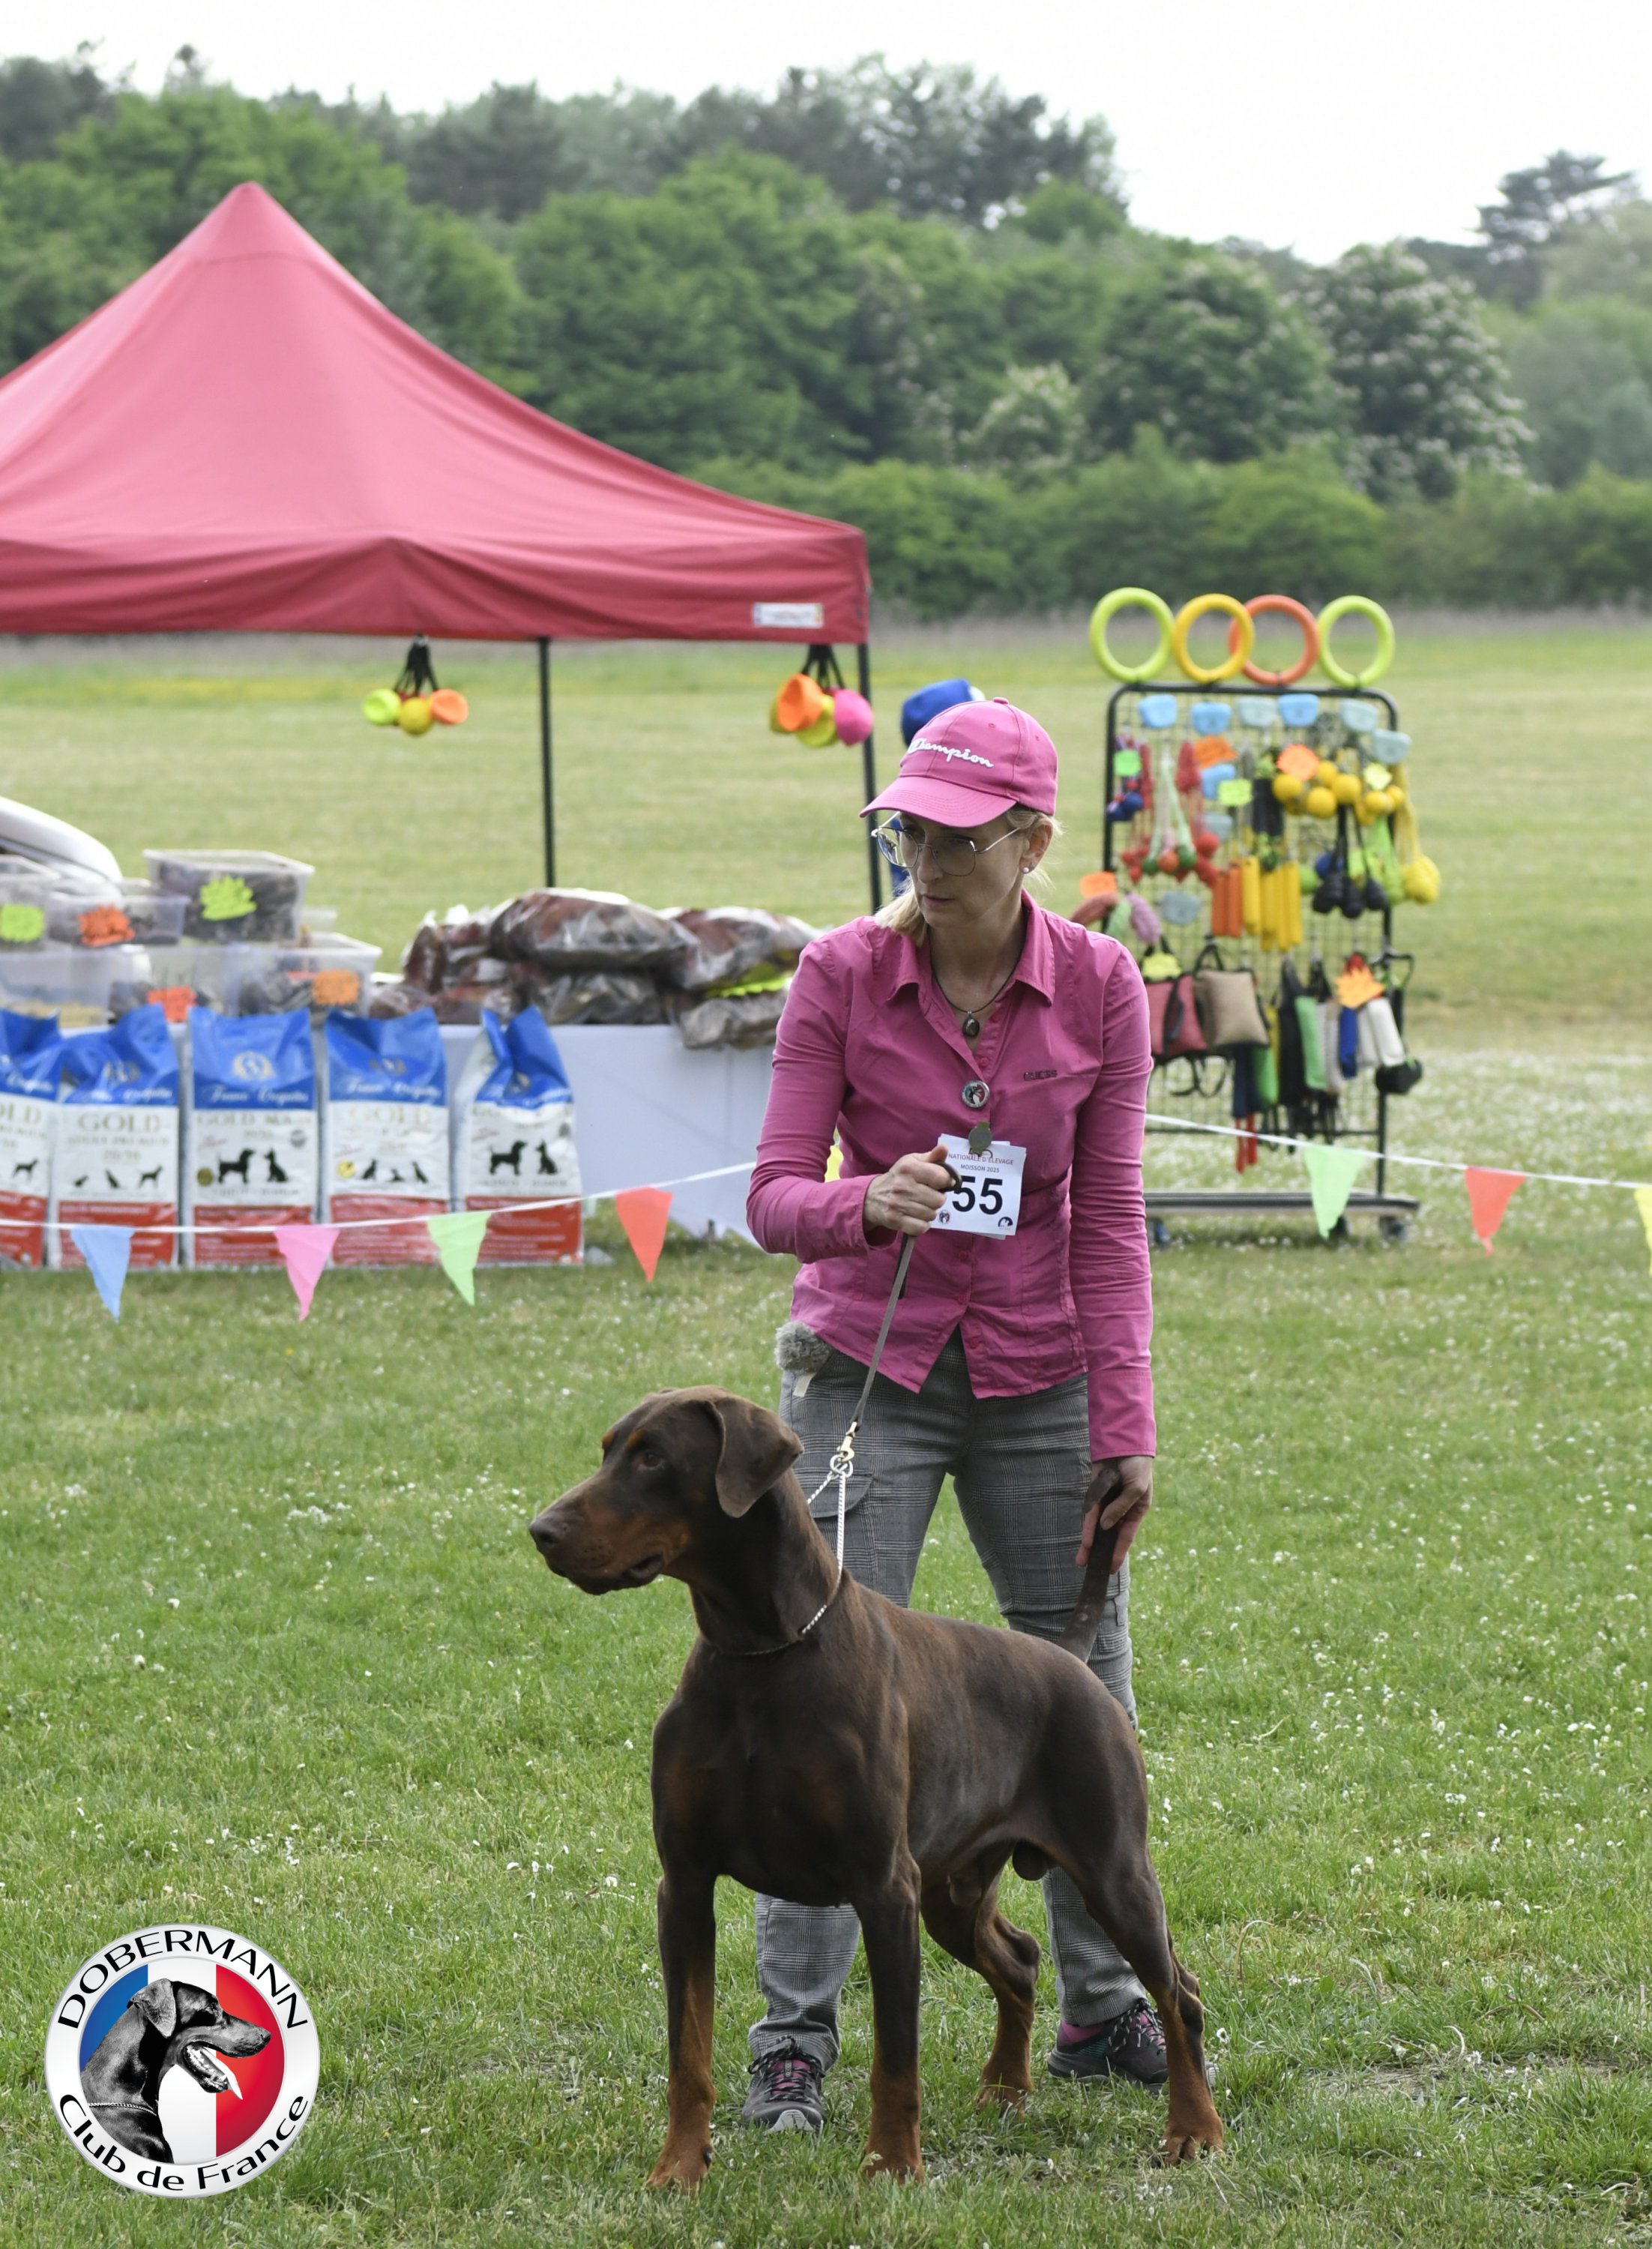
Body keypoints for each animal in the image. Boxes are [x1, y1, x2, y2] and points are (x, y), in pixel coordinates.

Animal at [529, 1389, 1223, 2189]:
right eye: (608, 1449)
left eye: (653, 1458)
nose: (542, 1532)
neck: (761, 1656)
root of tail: (1070, 1659)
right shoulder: (685, 1882)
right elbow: (688, 2052)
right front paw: (678, 2168)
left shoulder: (883, 1886)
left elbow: (897, 2056)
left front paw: (892, 2165)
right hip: (952, 1890)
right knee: (1019, 1960)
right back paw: (1005, 2090)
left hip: (1111, 1869)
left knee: (1178, 1995)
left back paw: (1193, 2128)